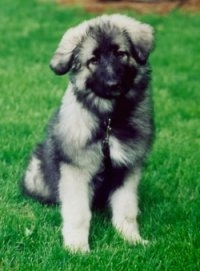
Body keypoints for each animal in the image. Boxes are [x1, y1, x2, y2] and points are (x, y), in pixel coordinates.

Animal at [21, 14, 154, 253]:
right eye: (93, 60)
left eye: (120, 53)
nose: (113, 84)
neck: (108, 120)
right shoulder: (76, 169)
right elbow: (79, 213)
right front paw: (77, 248)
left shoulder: (126, 168)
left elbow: (127, 209)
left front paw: (131, 239)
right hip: (37, 175)